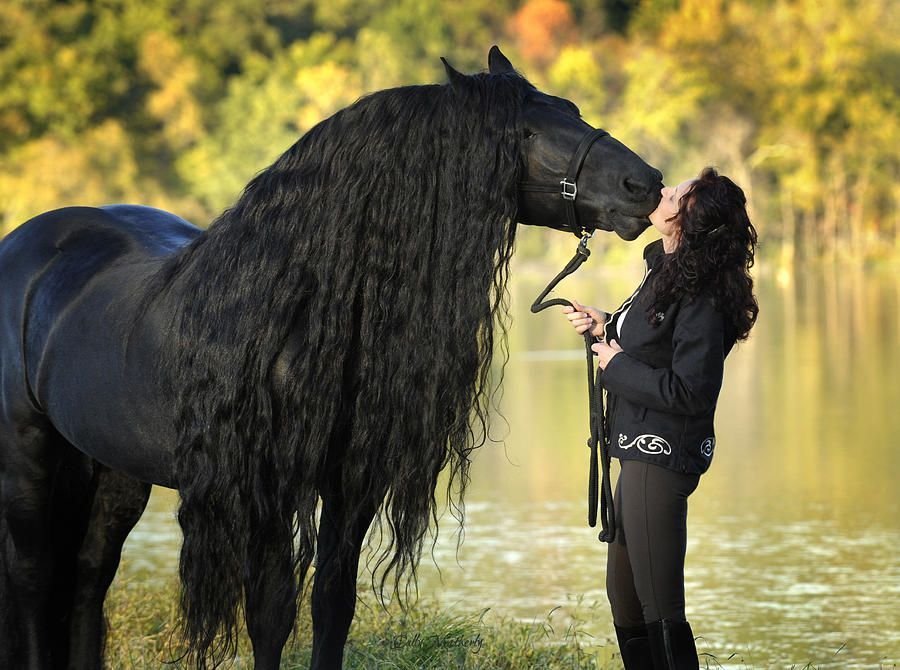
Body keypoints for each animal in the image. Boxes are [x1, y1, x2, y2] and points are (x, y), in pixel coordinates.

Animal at [0, 48, 660, 670]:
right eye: (525, 131)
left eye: (572, 110)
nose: (646, 184)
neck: (298, 307)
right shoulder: (266, 488)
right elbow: (270, 612)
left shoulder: (353, 482)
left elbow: (332, 604)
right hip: (29, 460)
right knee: (33, 579)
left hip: (113, 470)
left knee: (88, 579)